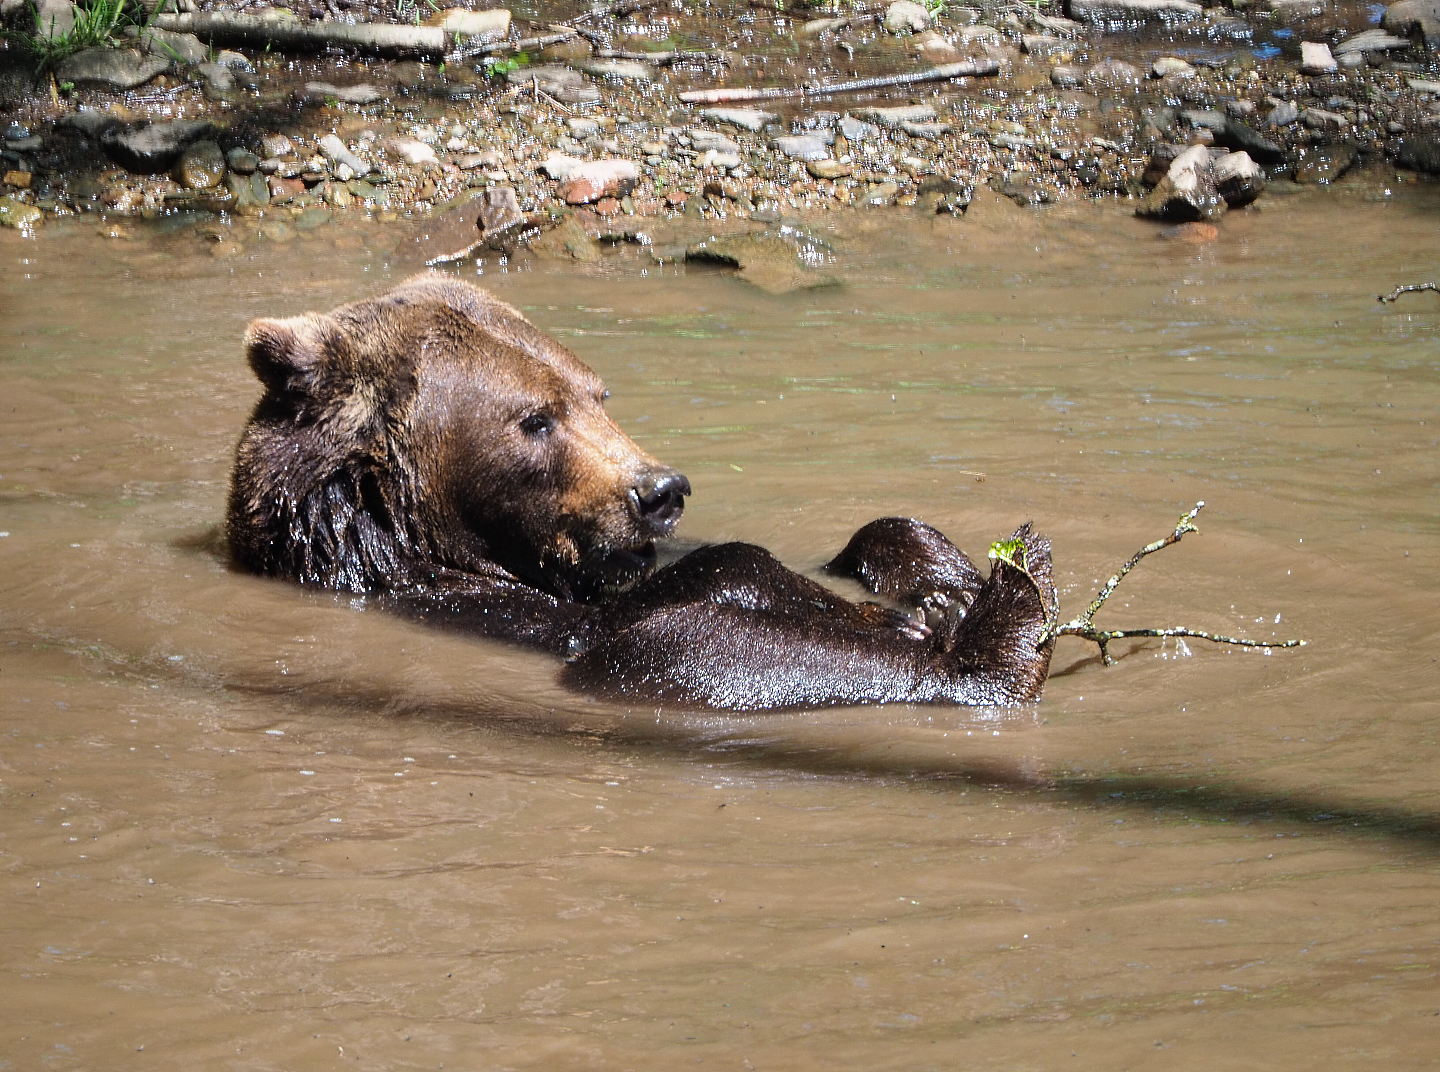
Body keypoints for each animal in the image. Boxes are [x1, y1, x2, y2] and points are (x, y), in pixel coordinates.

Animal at [227, 274, 1055, 710]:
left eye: (598, 393)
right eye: (535, 418)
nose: (660, 490)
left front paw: (940, 585)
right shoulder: (451, 599)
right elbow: (704, 595)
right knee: (662, 647)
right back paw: (1006, 625)